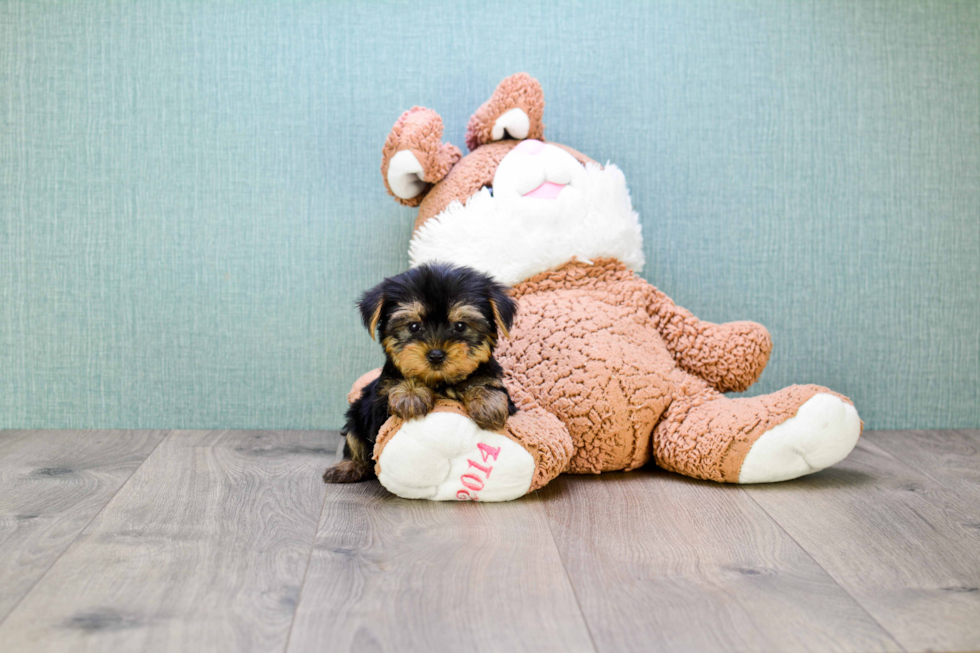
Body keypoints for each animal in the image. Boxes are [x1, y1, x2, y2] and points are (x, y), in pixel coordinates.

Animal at [324, 262, 520, 482]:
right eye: (413, 326)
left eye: (460, 326)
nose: (436, 355)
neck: (440, 382)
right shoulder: (379, 406)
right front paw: (411, 394)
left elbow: (486, 384)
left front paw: (486, 402)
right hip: (356, 414)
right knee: (354, 438)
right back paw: (349, 466)